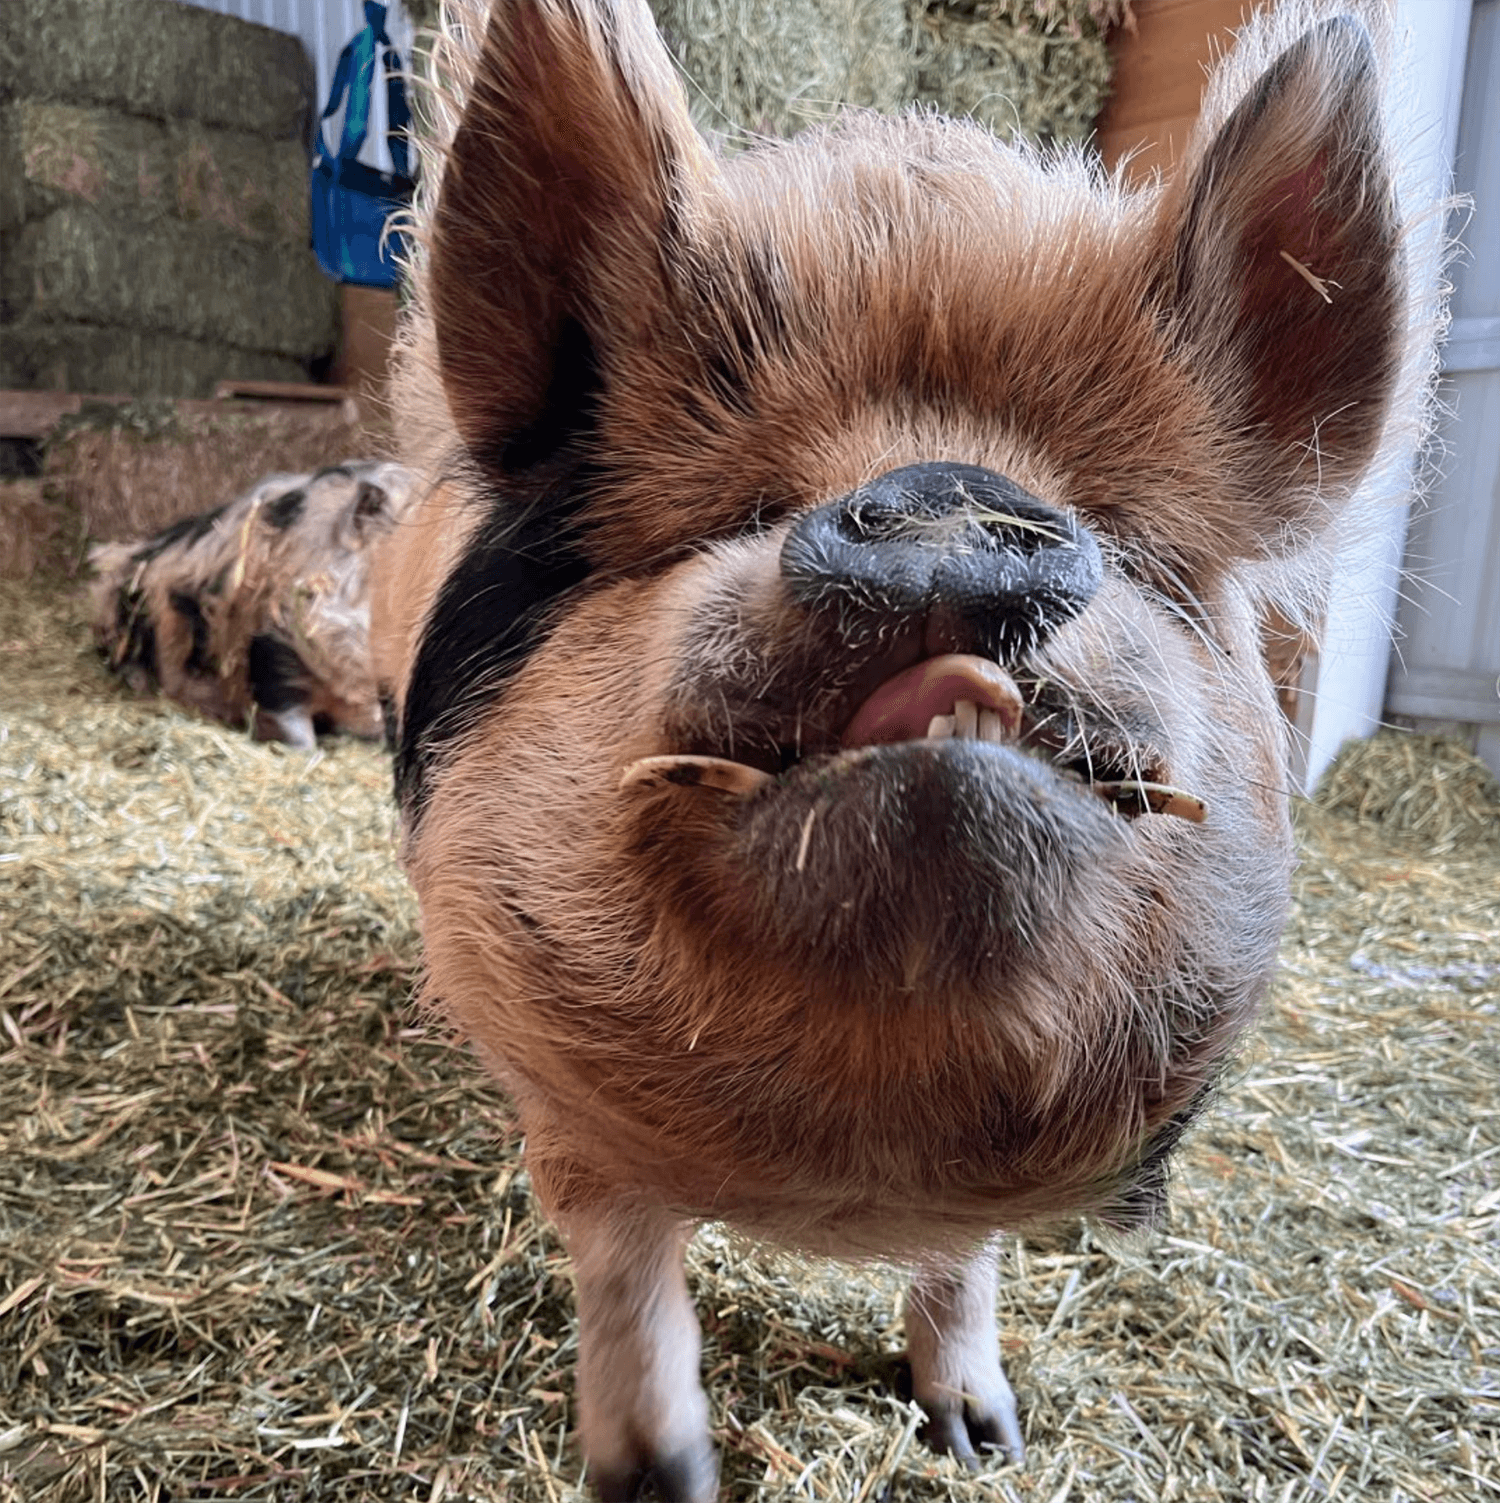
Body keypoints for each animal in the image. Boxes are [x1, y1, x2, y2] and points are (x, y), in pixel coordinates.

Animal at [371, 0, 1442, 1495]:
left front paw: (981, 1438)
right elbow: (629, 1269)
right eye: (745, 508)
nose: (948, 486)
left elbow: (968, 1257)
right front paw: (657, 1476)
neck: (855, 1153)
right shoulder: (563, 1101)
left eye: (1123, 530)